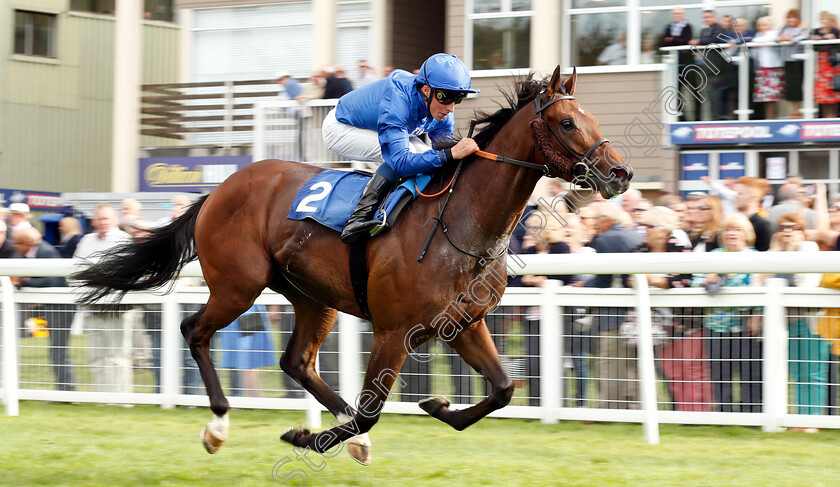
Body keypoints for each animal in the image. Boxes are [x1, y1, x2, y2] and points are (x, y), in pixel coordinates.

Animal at [74, 66, 632, 466]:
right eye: (567, 122)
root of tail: (218, 190)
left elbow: (502, 388)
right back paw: (218, 426)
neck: (462, 224)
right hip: (238, 286)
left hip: (309, 296)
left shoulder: (464, 324)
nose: (620, 173)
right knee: (196, 331)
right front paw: (307, 436)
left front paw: (437, 406)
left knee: (296, 361)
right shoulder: (394, 330)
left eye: (593, 119)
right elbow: (371, 412)